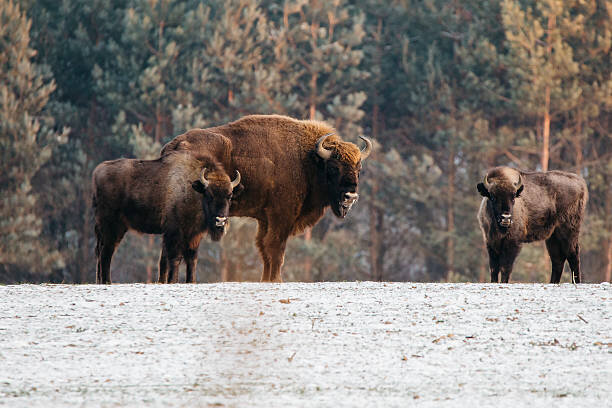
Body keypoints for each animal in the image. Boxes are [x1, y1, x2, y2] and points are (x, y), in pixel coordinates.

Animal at [93, 151, 241, 284]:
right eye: (209, 195)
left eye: (229, 196)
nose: (220, 221)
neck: (193, 190)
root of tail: (98, 172)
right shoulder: (174, 232)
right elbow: (175, 258)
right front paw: (172, 280)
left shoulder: (194, 236)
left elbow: (192, 259)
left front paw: (191, 281)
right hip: (112, 226)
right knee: (106, 252)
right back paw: (107, 281)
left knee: (101, 251)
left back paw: (100, 281)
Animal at [161, 113, 372, 282]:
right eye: (334, 168)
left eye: (359, 169)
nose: (350, 195)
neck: (307, 159)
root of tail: (174, 145)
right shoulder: (281, 216)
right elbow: (276, 247)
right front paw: (276, 280)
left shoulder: (265, 219)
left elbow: (264, 247)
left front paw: (265, 279)